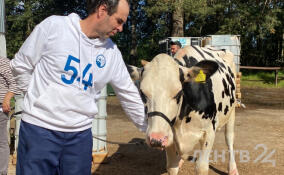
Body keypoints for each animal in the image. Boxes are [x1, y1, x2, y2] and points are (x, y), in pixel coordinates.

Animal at [127, 45, 239, 175]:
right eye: (142, 92)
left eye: (178, 92)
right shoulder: (169, 137)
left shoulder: (209, 132)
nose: (156, 139)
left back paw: (233, 168)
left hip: (232, 111)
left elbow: (201, 167)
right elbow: (172, 167)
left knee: (229, 138)